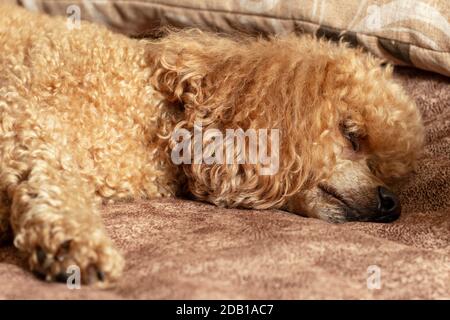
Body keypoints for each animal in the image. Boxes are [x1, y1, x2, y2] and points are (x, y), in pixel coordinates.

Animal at [0, 5, 424, 284]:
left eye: (384, 168)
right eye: (351, 135)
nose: (392, 204)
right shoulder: (21, 116)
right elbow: (54, 179)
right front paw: (75, 245)